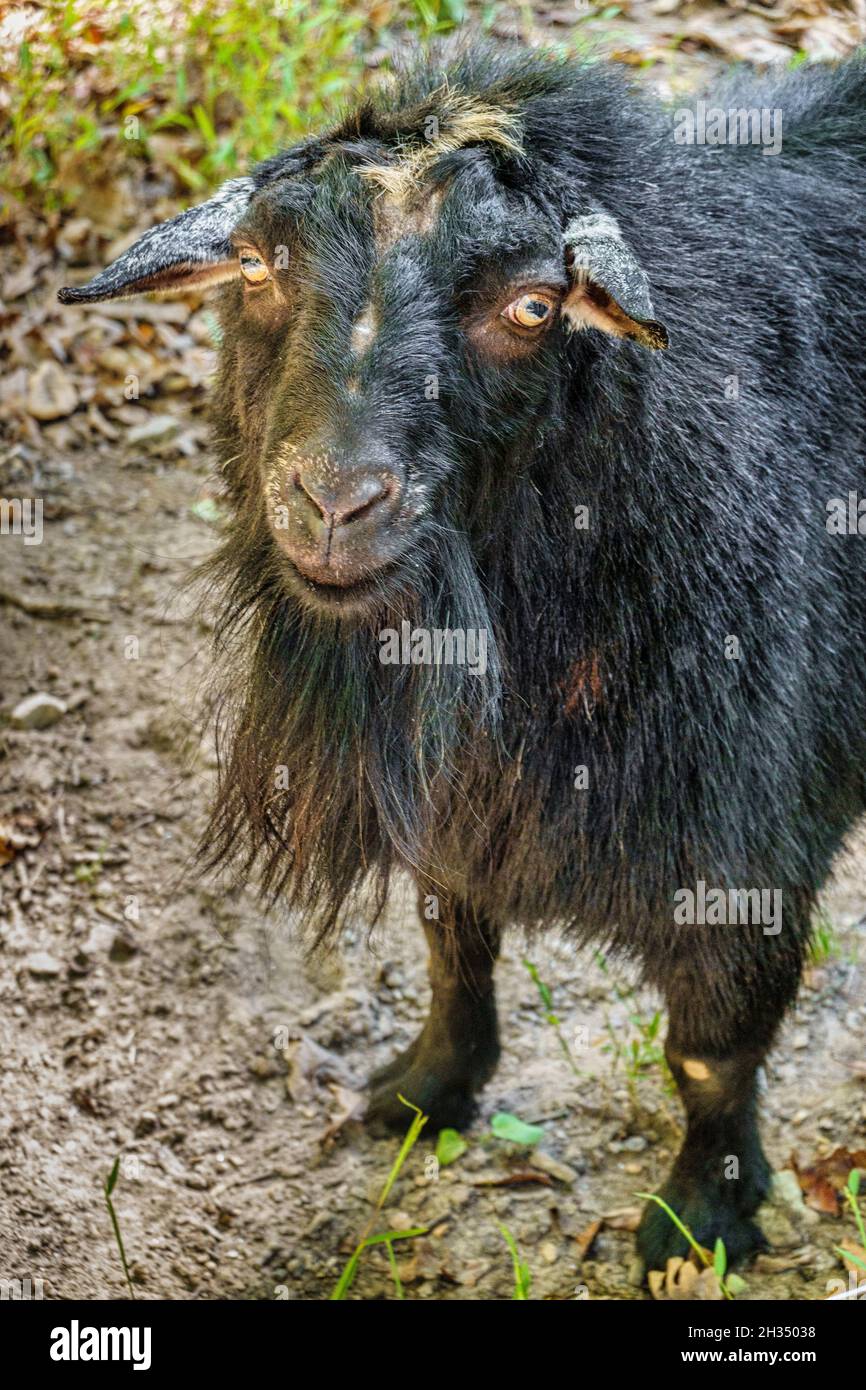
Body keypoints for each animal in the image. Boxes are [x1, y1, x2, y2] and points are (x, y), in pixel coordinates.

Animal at [61, 46, 866, 1273]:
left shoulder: (754, 837)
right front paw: (420, 1092)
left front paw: (700, 1216)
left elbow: (710, 1052)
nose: (335, 502)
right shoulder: (459, 806)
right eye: (254, 265)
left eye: (532, 305)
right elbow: (451, 940)